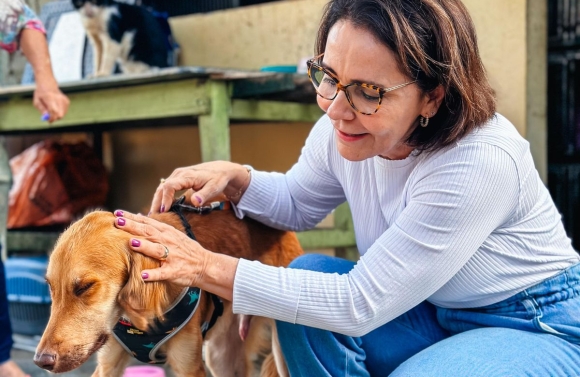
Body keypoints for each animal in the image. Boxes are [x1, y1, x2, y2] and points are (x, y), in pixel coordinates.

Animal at [33, 197, 304, 376]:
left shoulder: (188, 366)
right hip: (221, 355)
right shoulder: (108, 363)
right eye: (50, 287)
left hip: (279, 353)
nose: (41, 361)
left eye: (85, 287)